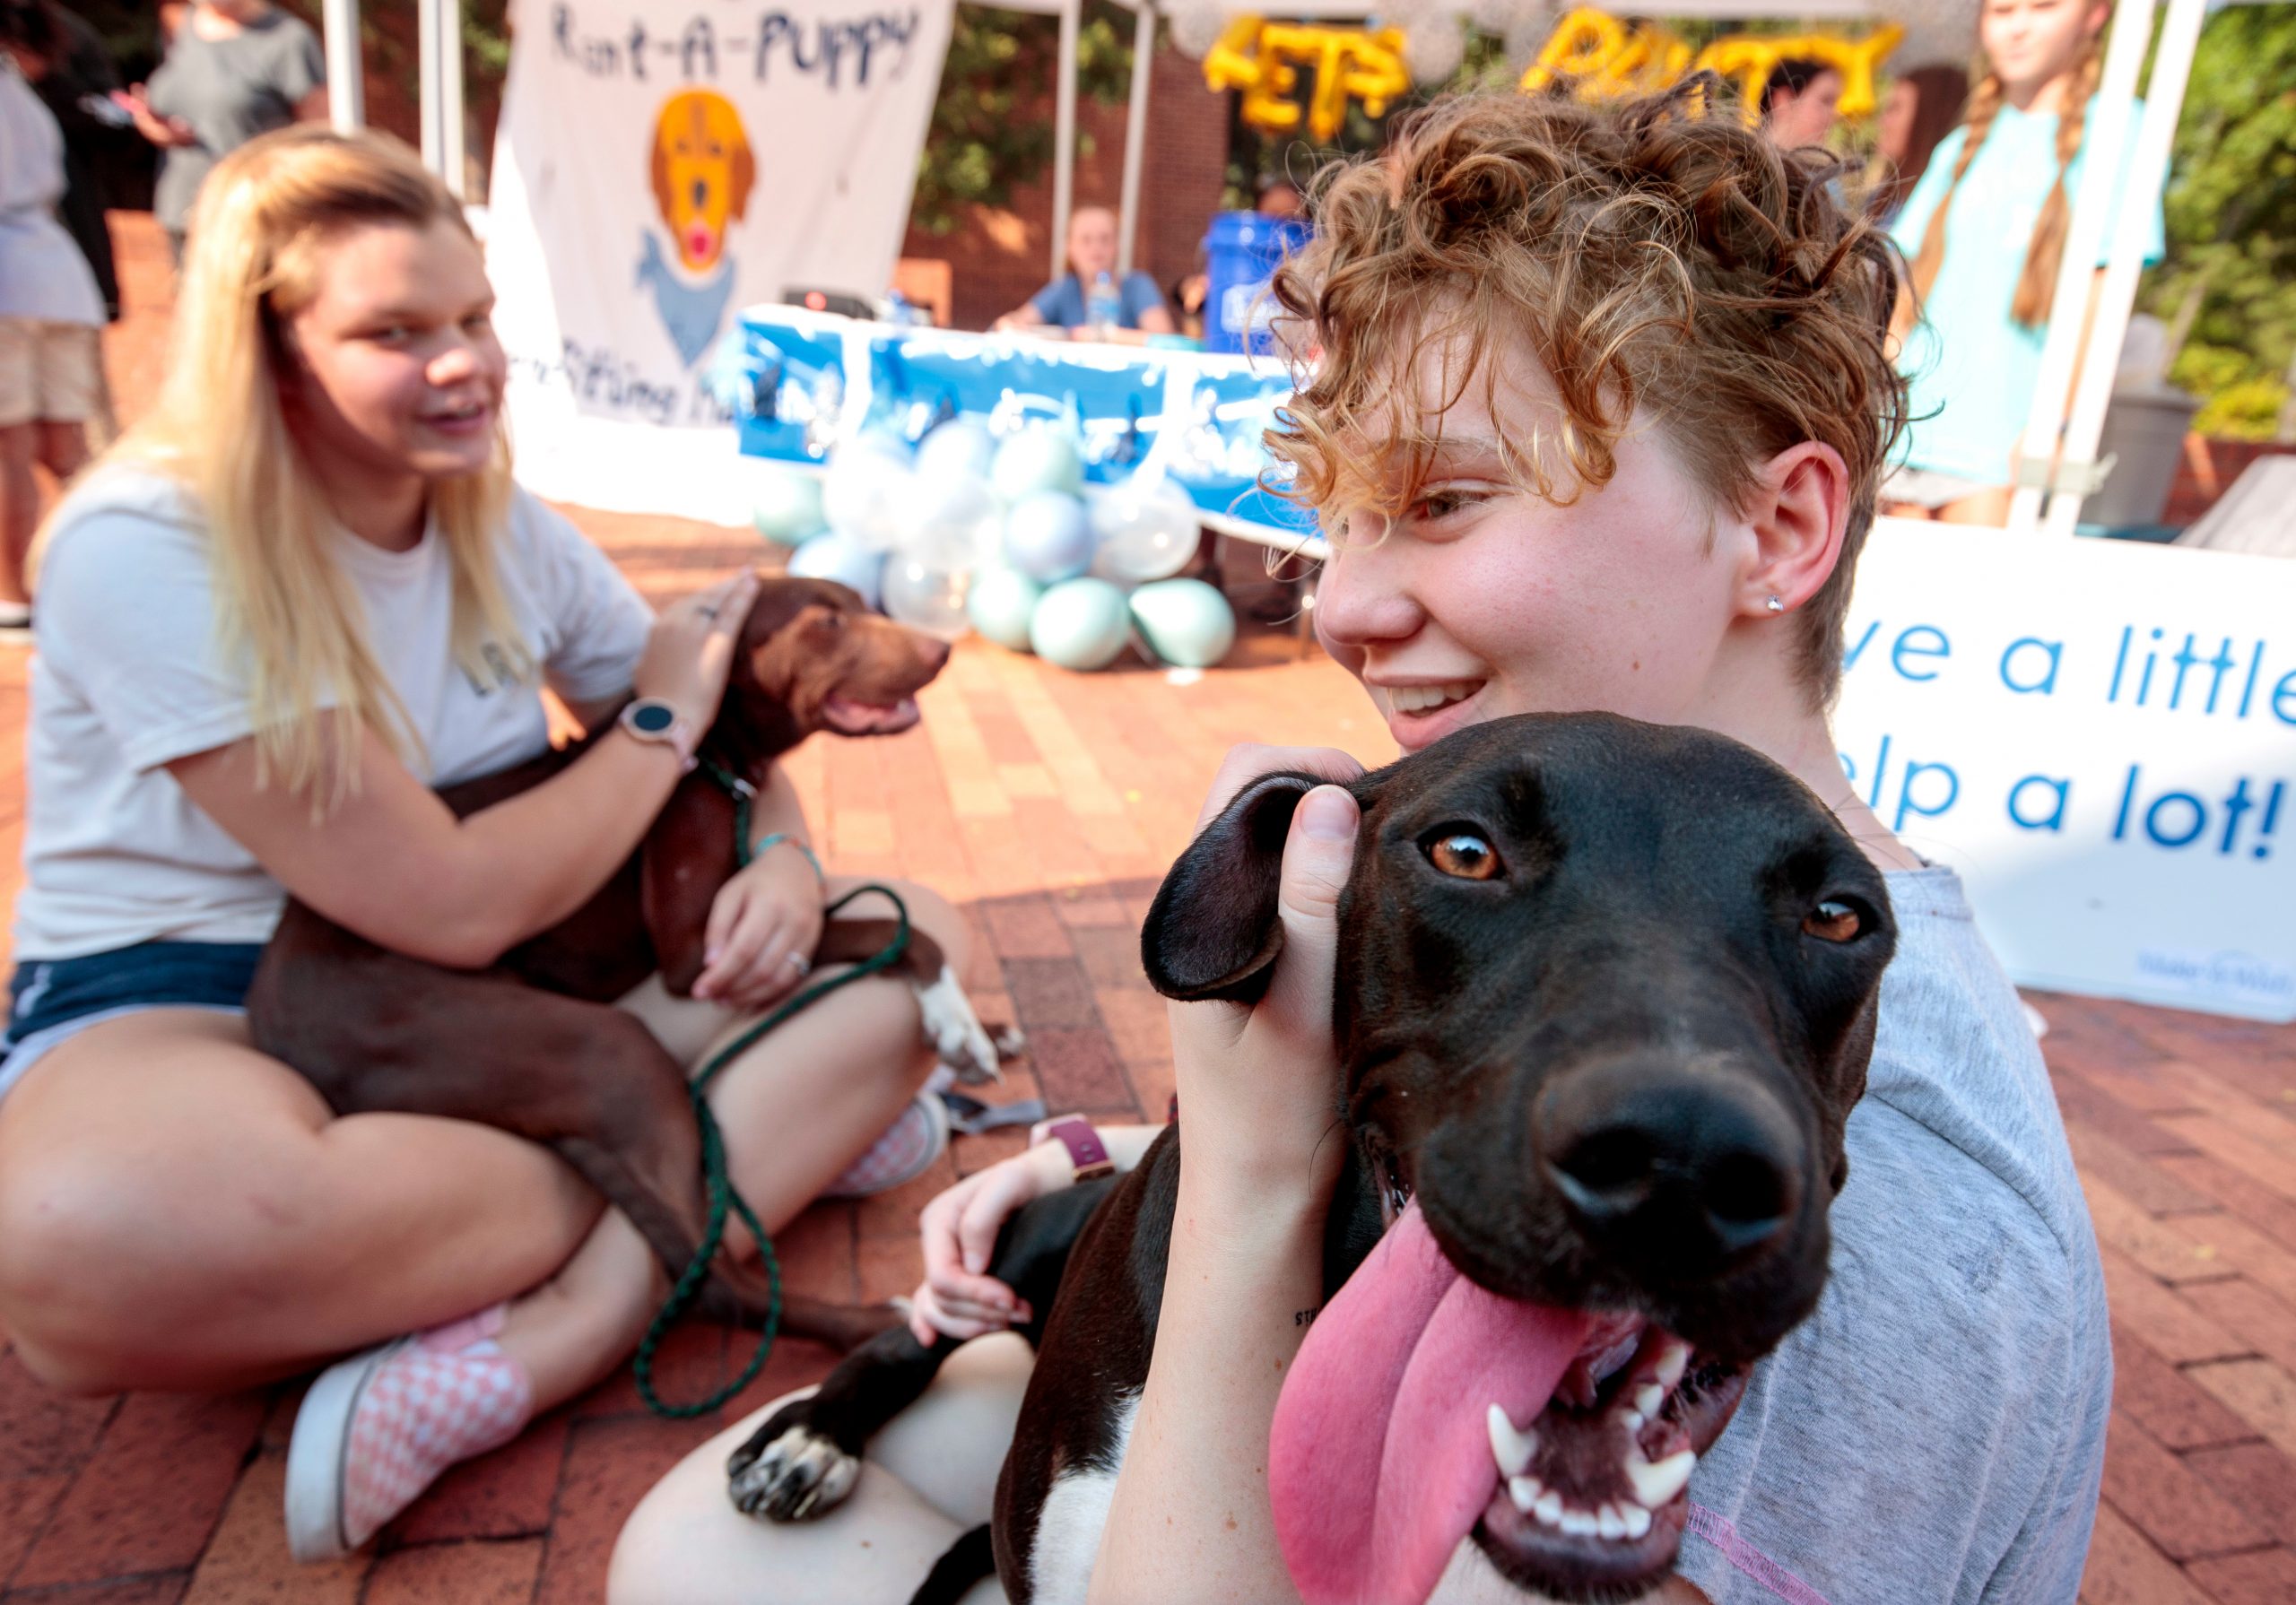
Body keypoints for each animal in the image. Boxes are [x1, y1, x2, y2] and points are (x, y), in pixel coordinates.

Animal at [248, 578, 987, 1340]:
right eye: (826, 622)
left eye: (863, 601)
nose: (943, 650)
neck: (714, 755)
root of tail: (272, 1025)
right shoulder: (696, 952)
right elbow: (896, 929)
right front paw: (958, 1022)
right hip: (608, 1048)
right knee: (714, 1283)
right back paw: (878, 1322)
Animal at [725, 721, 1892, 1605]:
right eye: (1464, 852)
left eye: (1842, 917)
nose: (1682, 1165)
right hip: (1033, 1233)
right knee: (913, 1327)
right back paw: (812, 1437)